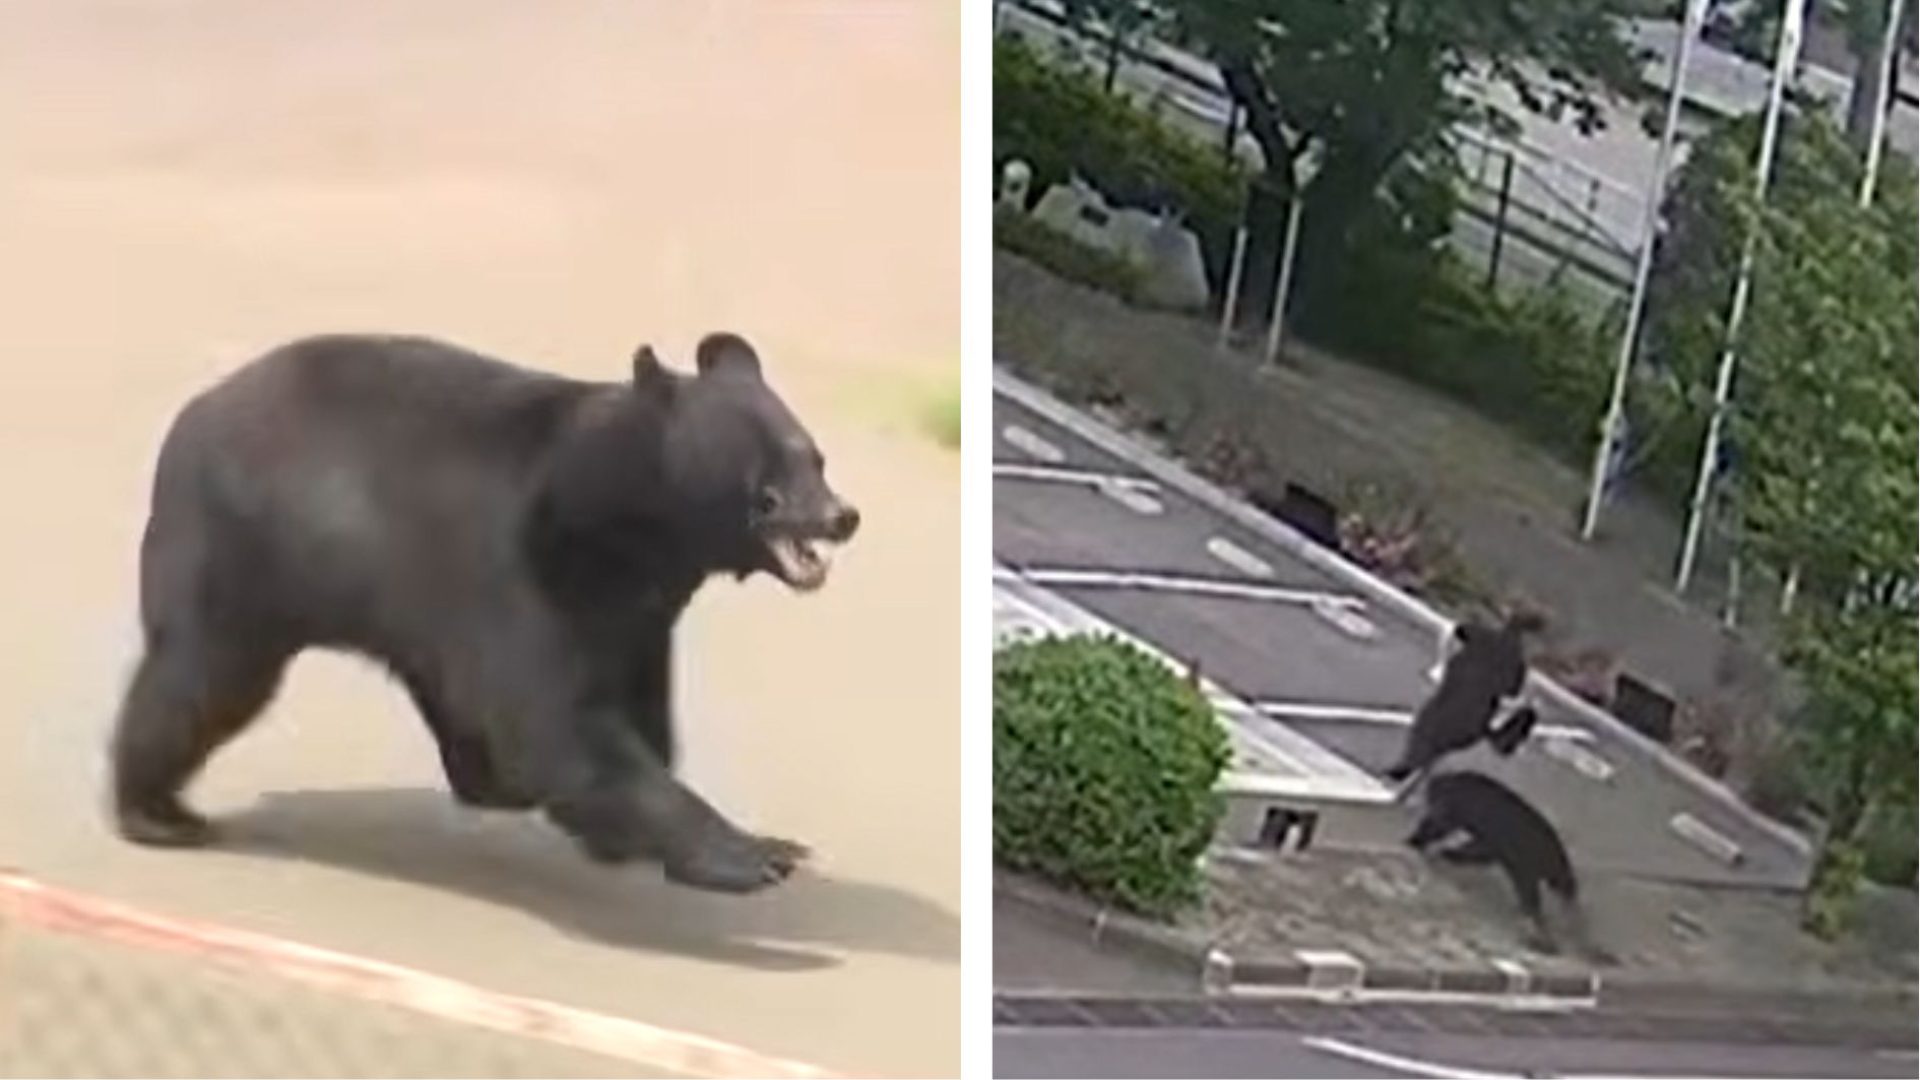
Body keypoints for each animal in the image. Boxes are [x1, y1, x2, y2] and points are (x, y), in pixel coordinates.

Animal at [108, 331, 859, 894]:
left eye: (816, 457)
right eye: (768, 485)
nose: (841, 516)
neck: (629, 521)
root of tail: (196, 409)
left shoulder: (639, 612)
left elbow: (633, 708)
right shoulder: (525, 565)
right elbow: (557, 724)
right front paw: (753, 854)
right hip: (242, 553)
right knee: (201, 681)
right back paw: (157, 813)